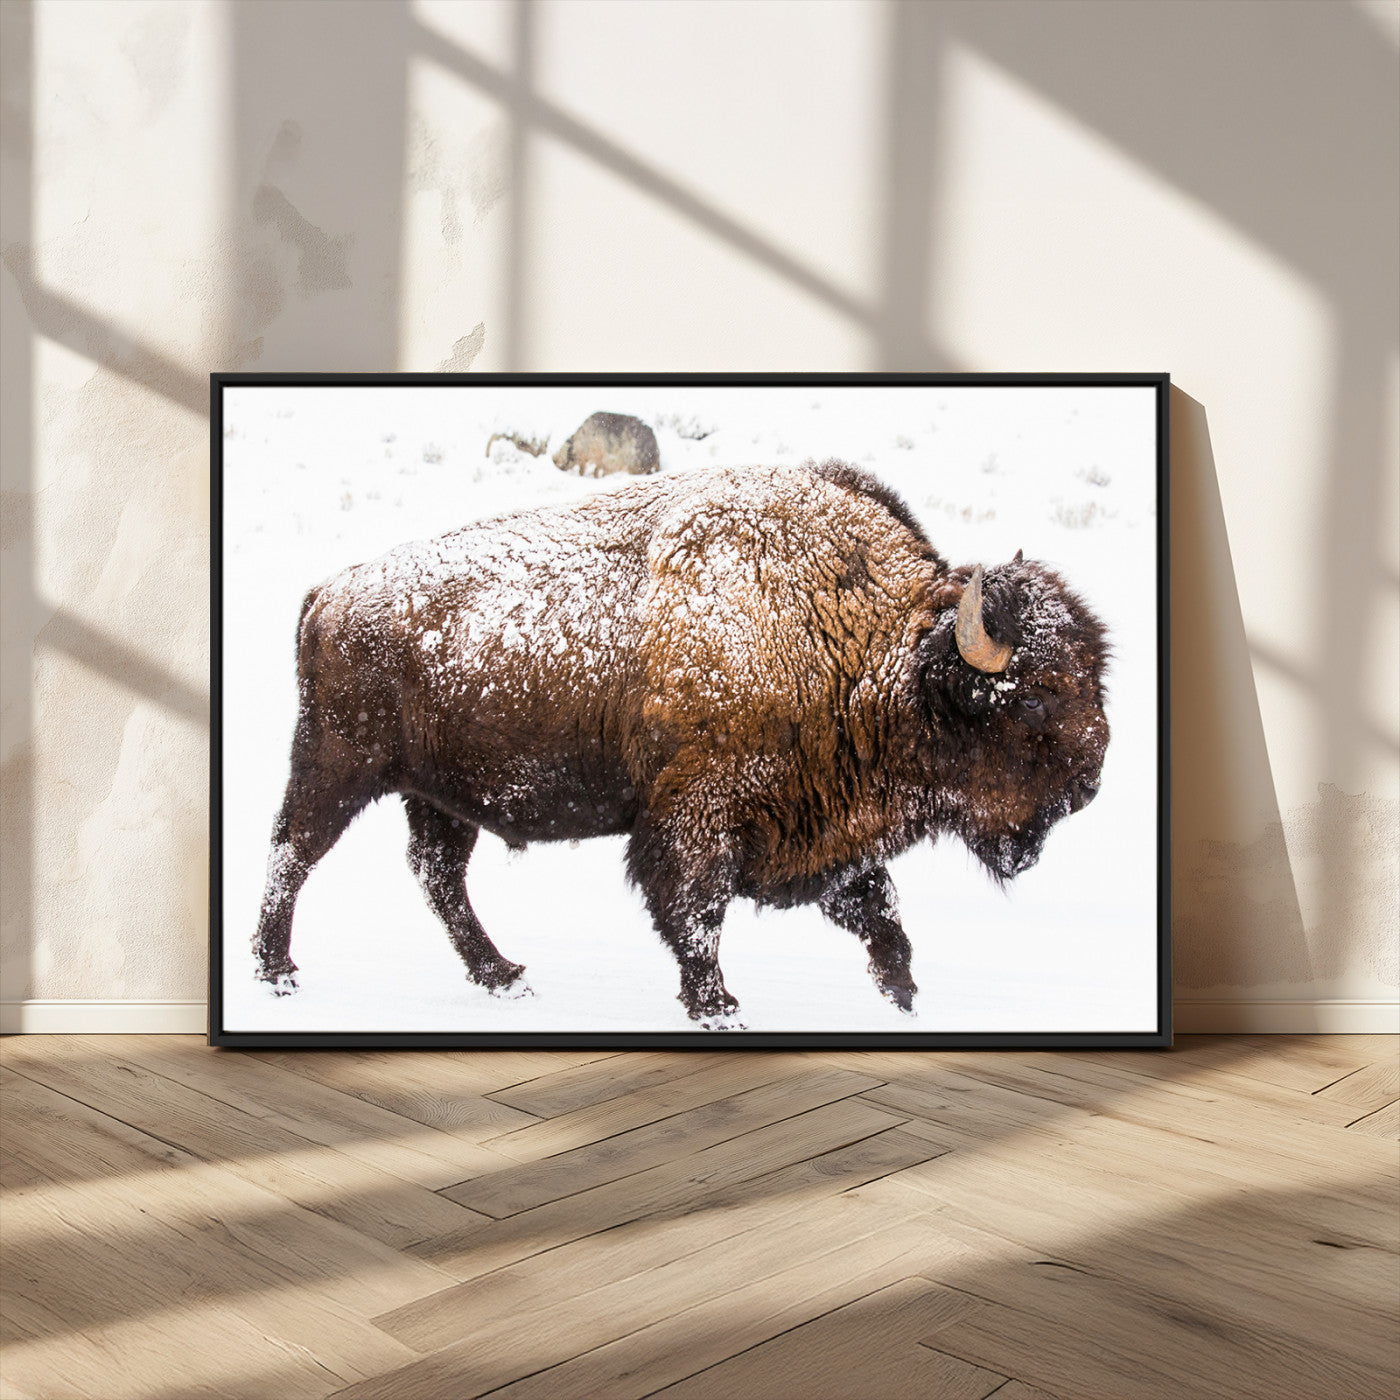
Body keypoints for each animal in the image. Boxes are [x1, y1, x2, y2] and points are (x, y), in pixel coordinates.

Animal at [253, 460, 1109, 1027]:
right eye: (1035, 695)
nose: (1091, 781)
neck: (871, 648)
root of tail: (329, 592)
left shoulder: (827, 828)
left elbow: (878, 910)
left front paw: (901, 998)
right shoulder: (699, 818)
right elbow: (696, 915)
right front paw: (719, 1006)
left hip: (439, 794)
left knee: (438, 878)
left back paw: (504, 977)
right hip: (337, 766)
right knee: (293, 853)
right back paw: (278, 973)